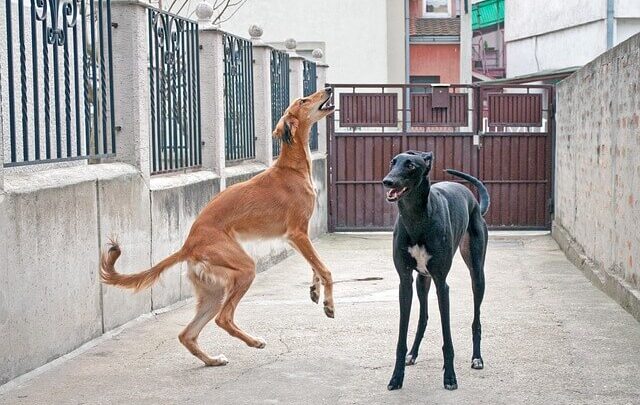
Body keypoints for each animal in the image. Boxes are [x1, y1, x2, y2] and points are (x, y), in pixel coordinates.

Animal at [101, 87, 336, 364]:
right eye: (303, 100)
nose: (329, 89)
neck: (292, 168)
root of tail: (189, 244)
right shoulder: (297, 233)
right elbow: (325, 269)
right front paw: (329, 304)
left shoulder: (298, 236)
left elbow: (315, 266)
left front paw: (315, 291)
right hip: (243, 269)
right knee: (223, 318)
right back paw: (253, 342)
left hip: (212, 292)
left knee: (187, 334)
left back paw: (212, 360)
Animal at [380, 150, 490, 390]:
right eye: (393, 162)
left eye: (410, 165)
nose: (387, 181)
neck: (417, 219)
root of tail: (474, 202)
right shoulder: (405, 281)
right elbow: (401, 337)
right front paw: (396, 377)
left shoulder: (441, 283)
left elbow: (447, 337)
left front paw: (450, 377)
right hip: (423, 281)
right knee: (423, 317)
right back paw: (413, 354)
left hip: (477, 274)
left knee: (476, 319)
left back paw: (477, 358)